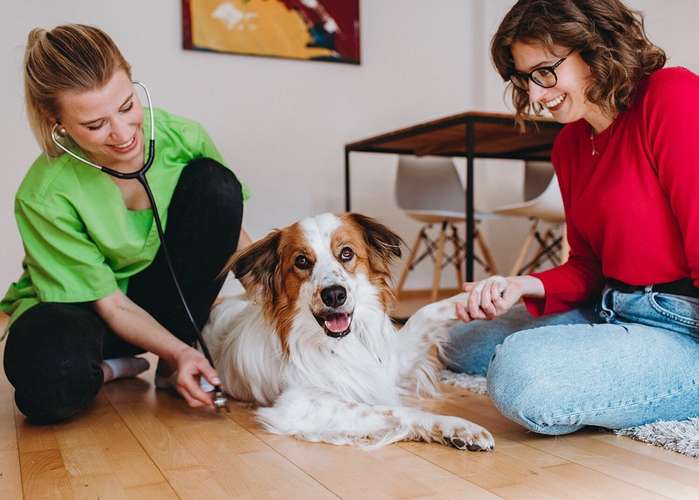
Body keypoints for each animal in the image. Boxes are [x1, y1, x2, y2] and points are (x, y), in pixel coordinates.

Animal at [202, 213, 494, 452]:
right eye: (301, 261)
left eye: (346, 253)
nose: (334, 294)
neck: (341, 345)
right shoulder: (297, 404)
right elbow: (390, 411)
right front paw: (457, 426)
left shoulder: (392, 362)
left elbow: (427, 312)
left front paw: (486, 291)